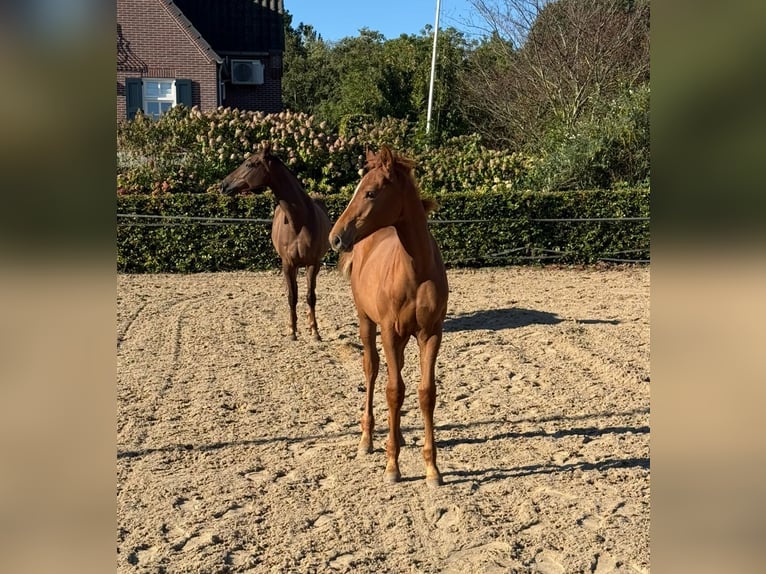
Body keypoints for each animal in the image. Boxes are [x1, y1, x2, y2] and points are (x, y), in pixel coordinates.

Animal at [220, 144, 332, 342]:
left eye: (250, 164)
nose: (223, 185)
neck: (300, 222)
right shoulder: (287, 264)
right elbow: (291, 296)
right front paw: (292, 331)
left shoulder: (313, 263)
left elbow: (310, 296)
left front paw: (315, 332)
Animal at [330, 146, 450, 488]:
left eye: (370, 192)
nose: (335, 238)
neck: (417, 270)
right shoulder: (389, 331)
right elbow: (394, 391)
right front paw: (392, 466)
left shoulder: (431, 333)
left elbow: (426, 393)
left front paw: (432, 469)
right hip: (367, 322)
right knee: (371, 371)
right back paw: (368, 440)